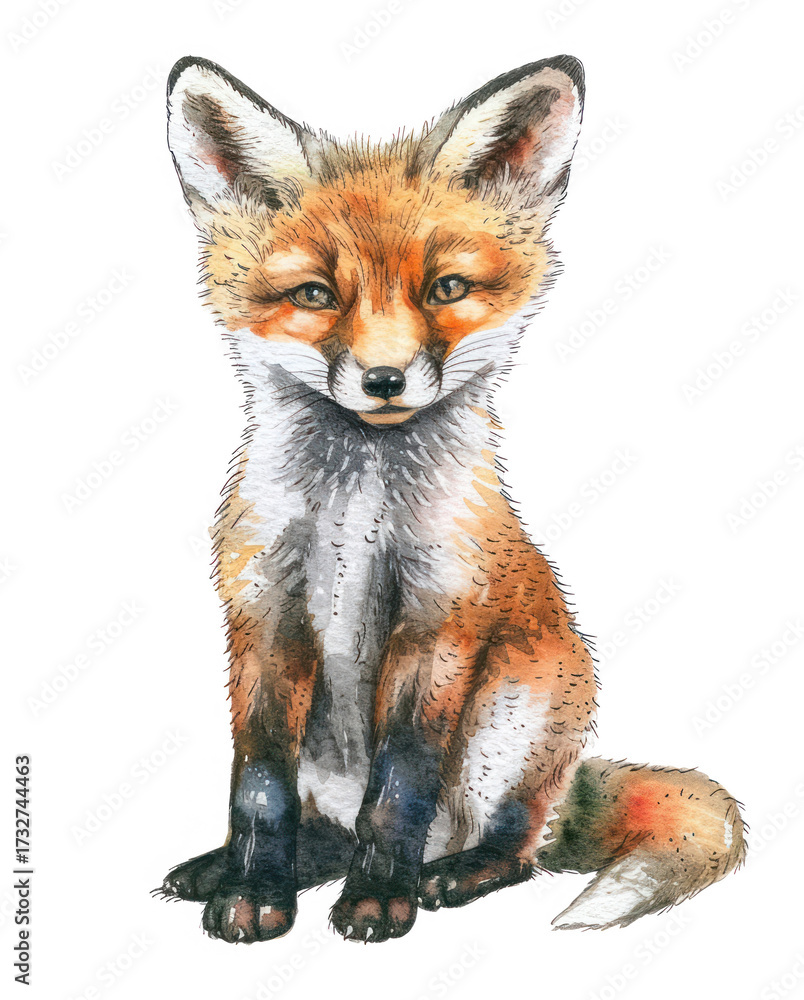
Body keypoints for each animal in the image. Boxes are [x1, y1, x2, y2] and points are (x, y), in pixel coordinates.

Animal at [159, 54, 746, 944]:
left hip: (509, 724)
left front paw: (377, 900)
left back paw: (456, 873)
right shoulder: (263, 616)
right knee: (324, 826)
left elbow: (399, 788)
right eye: (314, 295)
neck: (355, 513)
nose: (384, 379)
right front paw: (254, 889)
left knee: (516, 847)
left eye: (446, 288)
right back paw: (238, 866)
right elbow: (258, 789)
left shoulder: (440, 621)